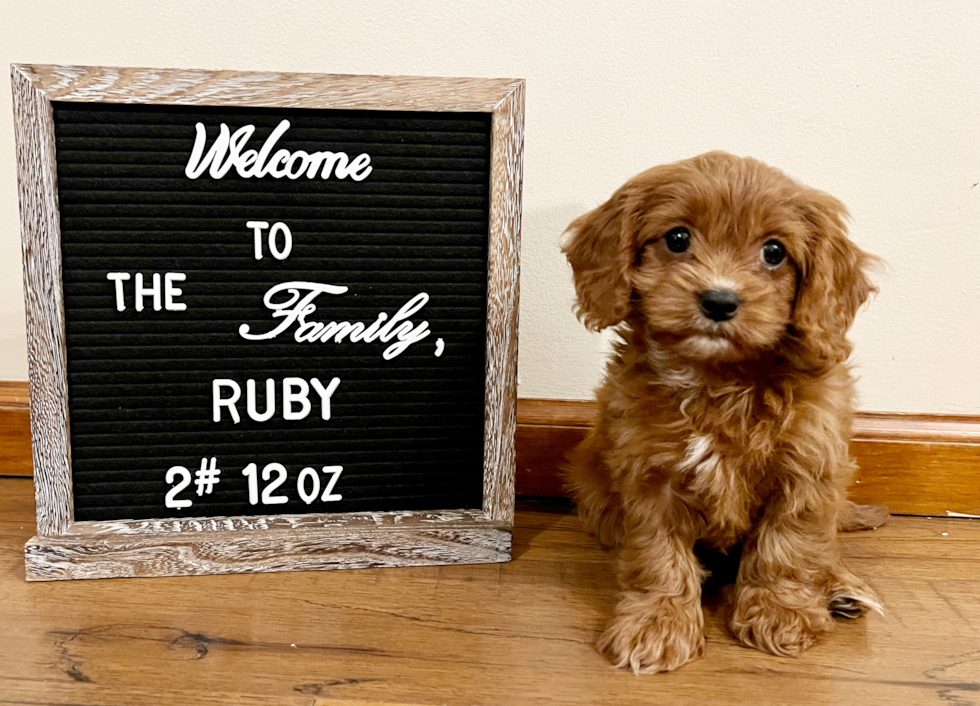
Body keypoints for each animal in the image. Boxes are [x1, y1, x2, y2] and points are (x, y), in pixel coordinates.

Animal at [560, 153, 888, 672]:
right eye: (677, 238)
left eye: (774, 252)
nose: (719, 300)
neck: (719, 380)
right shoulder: (649, 472)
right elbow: (658, 554)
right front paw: (657, 622)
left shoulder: (807, 467)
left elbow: (789, 544)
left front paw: (780, 611)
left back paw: (840, 588)